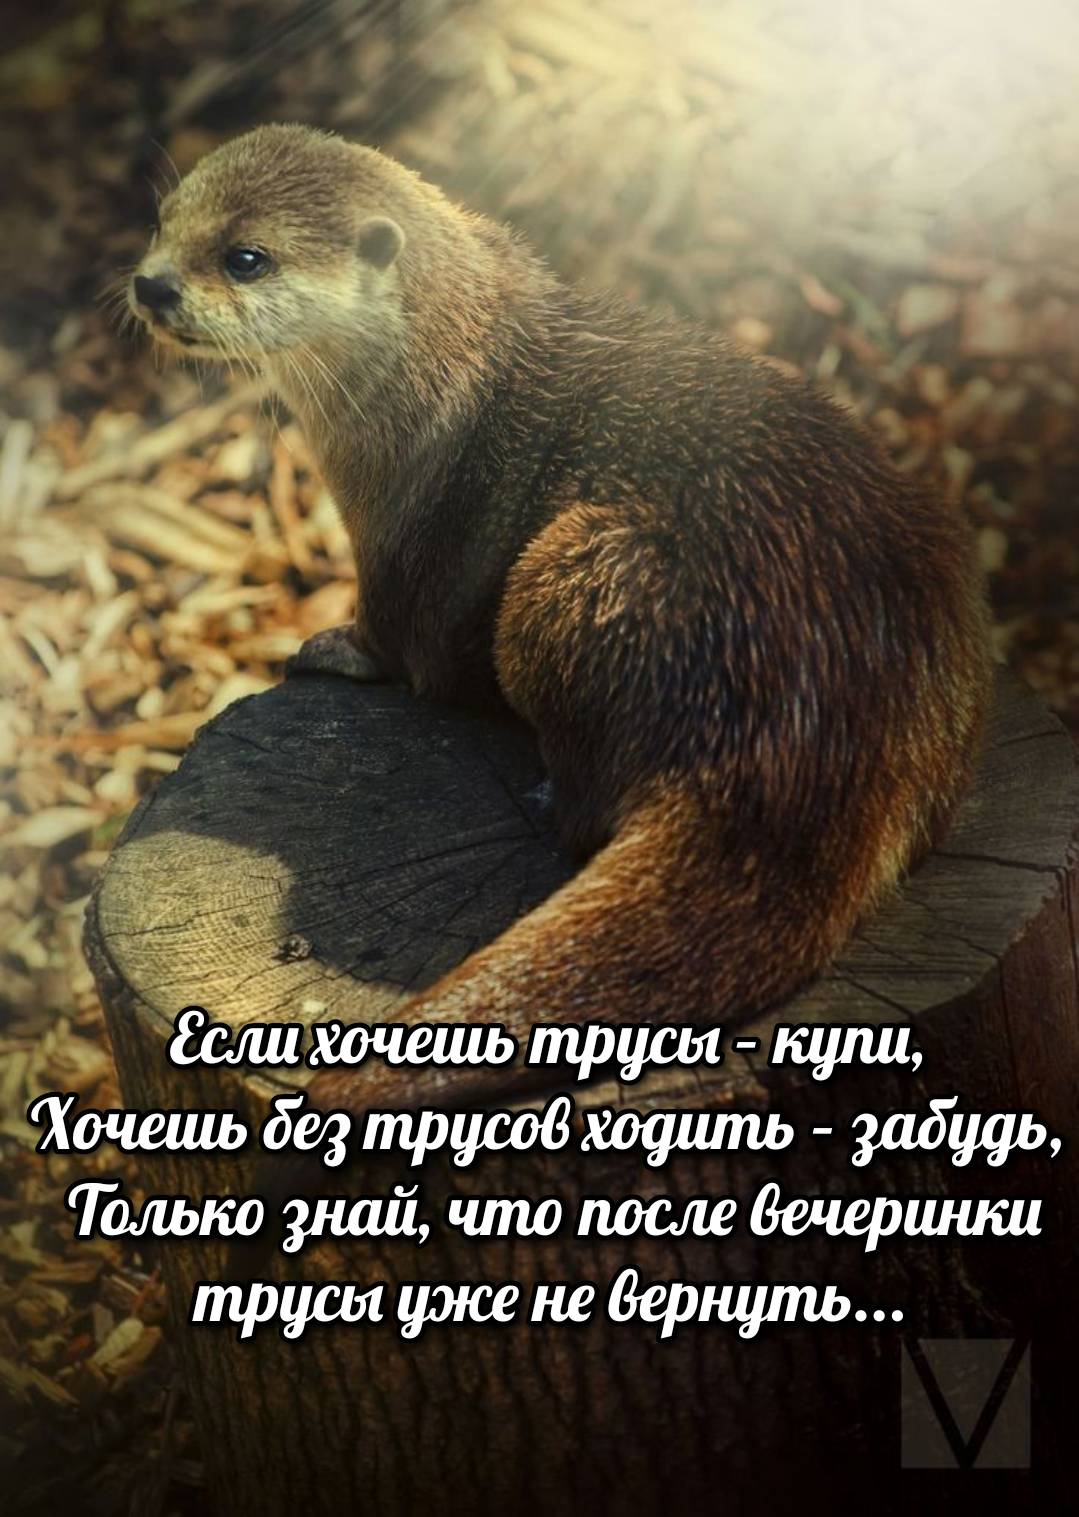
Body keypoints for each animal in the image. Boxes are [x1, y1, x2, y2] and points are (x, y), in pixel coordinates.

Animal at [130, 123, 991, 1130]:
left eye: (245, 257)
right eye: (163, 218)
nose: (152, 284)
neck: (433, 383)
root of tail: (820, 718)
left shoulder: (401, 533)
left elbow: (392, 637)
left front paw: (329, 648)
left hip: (577, 575)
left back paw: (550, 794)